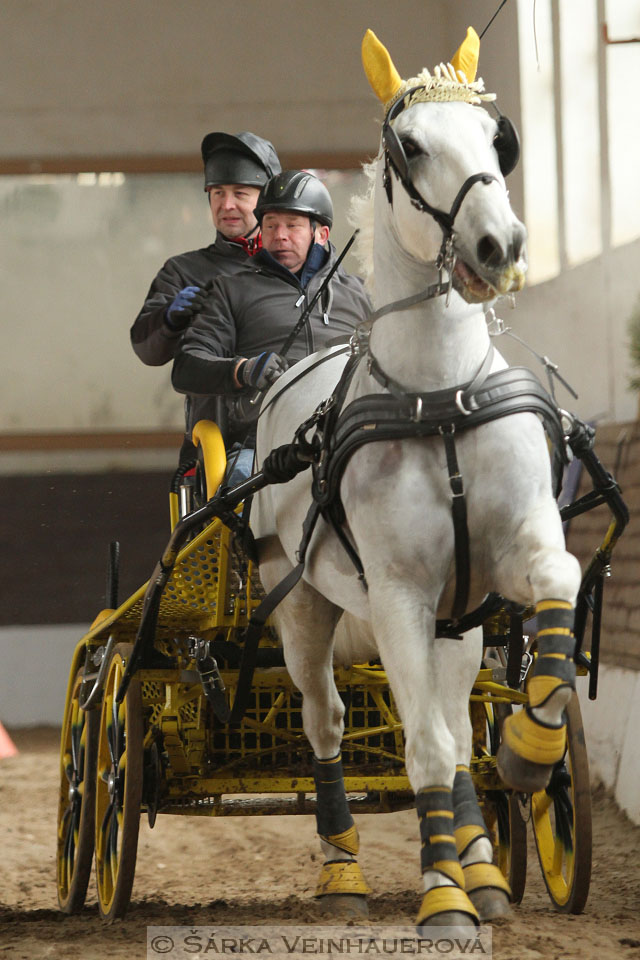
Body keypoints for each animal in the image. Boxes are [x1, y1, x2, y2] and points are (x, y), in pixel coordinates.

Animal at [252, 30, 584, 928]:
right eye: (411, 146)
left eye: (499, 141)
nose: (500, 246)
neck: (438, 398)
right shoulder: (398, 591)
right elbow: (423, 746)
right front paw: (442, 898)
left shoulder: (505, 560)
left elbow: (561, 578)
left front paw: (533, 748)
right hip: (303, 606)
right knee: (328, 722)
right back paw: (345, 868)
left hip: (456, 623)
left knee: (459, 727)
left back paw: (484, 864)